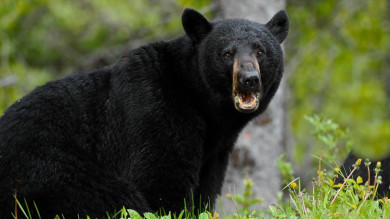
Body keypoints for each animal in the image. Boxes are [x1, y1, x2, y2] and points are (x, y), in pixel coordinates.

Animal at [0, 8, 286, 217]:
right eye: (227, 53)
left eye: (261, 51)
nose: (249, 79)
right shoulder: (157, 113)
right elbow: (160, 182)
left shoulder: (215, 151)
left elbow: (206, 191)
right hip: (48, 171)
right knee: (110, 197)